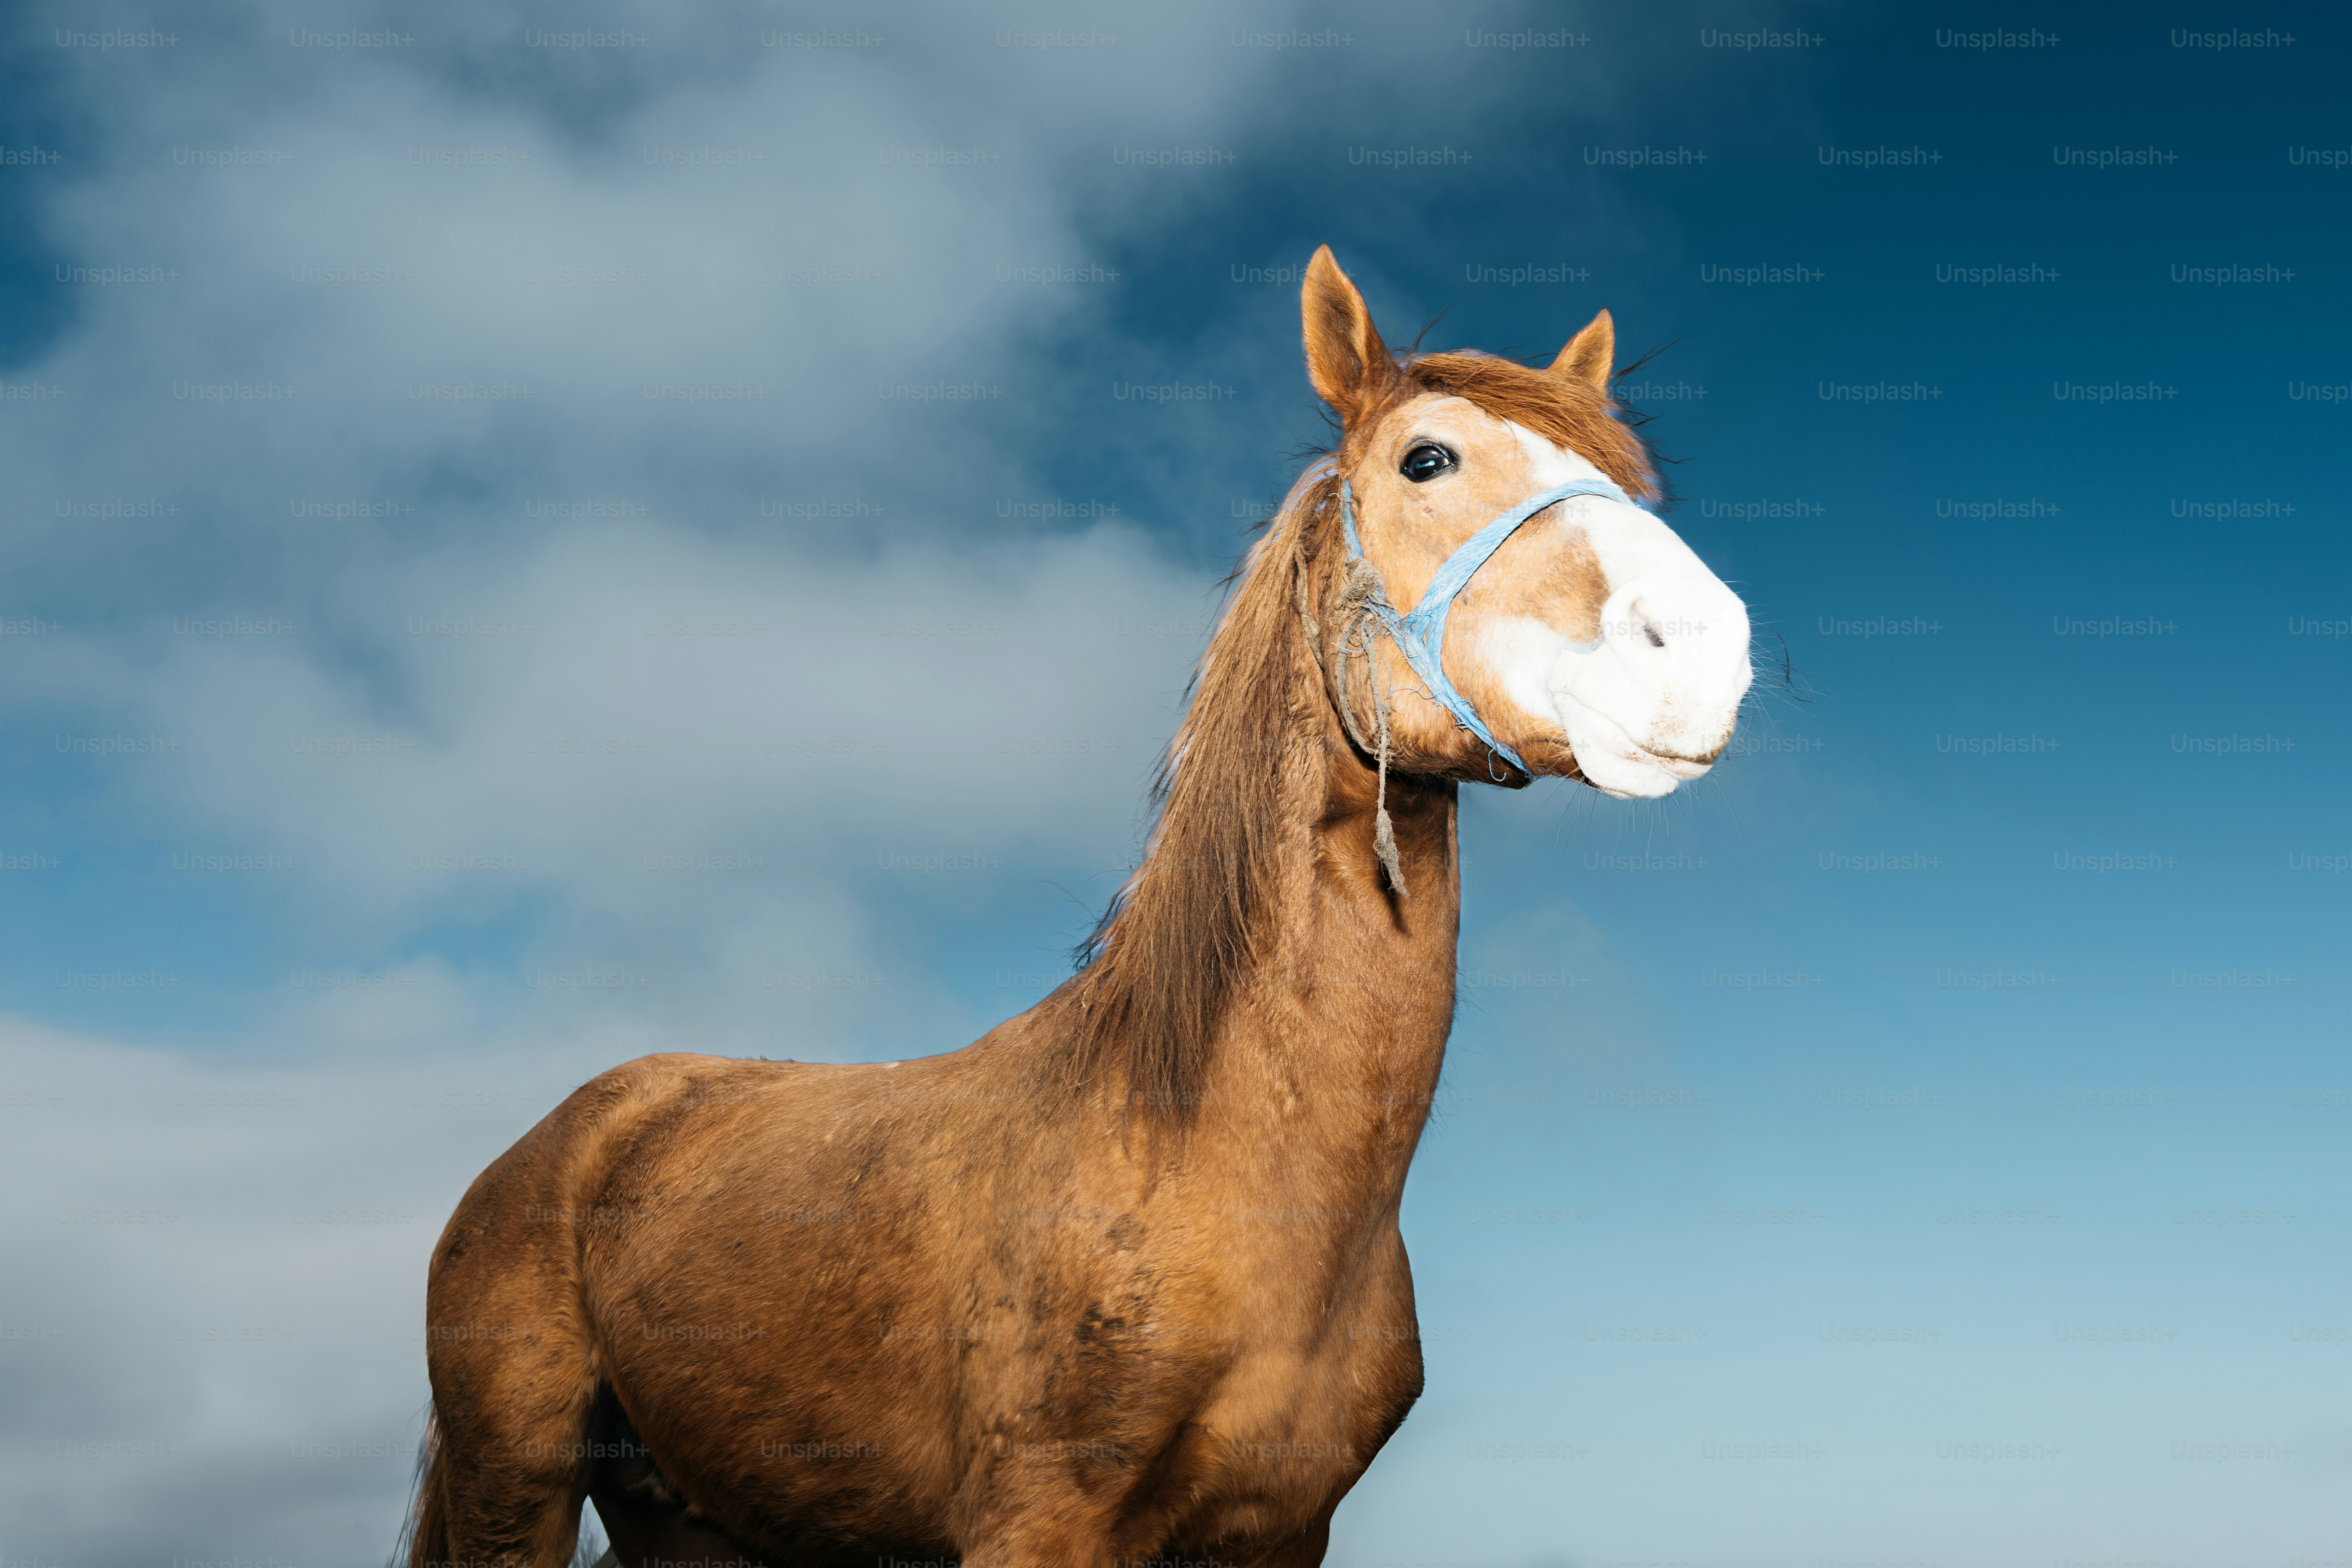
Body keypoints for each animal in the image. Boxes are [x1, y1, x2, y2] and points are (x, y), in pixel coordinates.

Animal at [401, 245, 1753, 1568]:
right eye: (1428, 459)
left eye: (1623, 478)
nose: (1707, 653)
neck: (1201, 1146)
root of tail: (561, 1133)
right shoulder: (1036, 1518)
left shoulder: (1282, 1535)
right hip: (516, 1485)